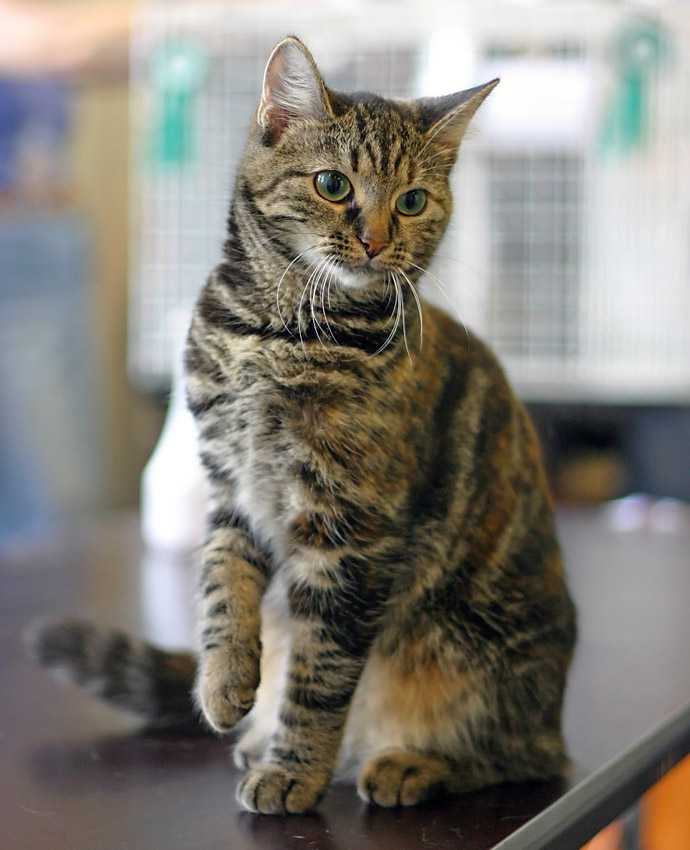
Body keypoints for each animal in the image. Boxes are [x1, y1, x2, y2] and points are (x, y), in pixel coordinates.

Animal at [28, 36, 576, 812]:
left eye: (412, 201)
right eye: (333, 185)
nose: (375, 241)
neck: (272, 332)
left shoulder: (349, 533)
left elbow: (320, 676)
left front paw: (293, 772)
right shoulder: (231, 488)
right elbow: (221, 589)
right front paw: (224, 684)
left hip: (476, 661)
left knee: (521, 754)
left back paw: (406, 763)